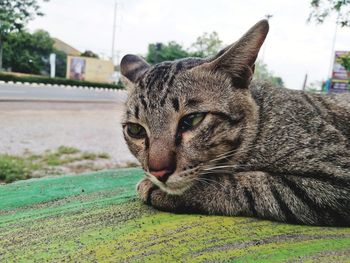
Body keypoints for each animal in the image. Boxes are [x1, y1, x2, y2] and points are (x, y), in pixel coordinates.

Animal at [120, 20, 350, 227]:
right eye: (135, 130)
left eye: (192, 120)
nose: (157, 172)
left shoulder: (336, 175)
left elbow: (248, 184)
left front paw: (157, 189)